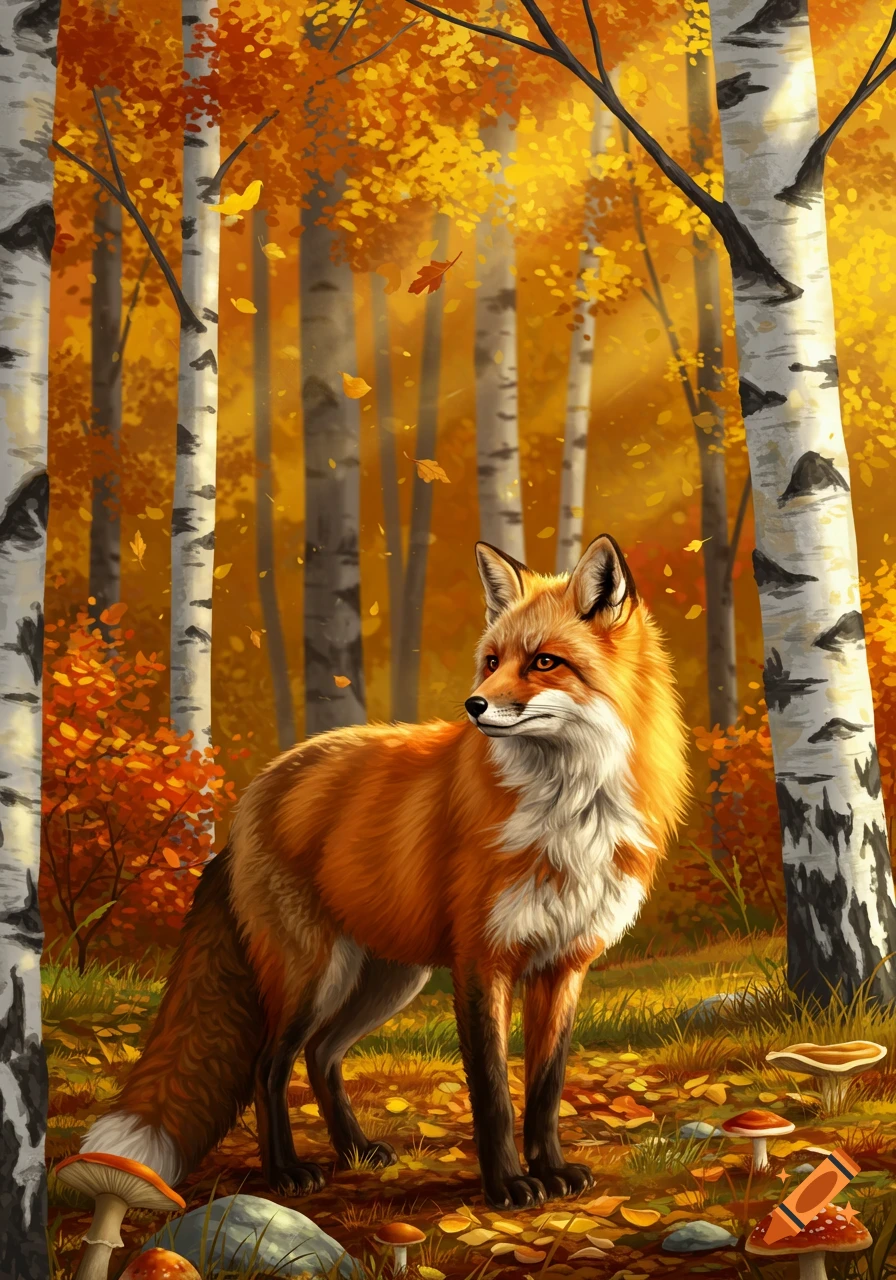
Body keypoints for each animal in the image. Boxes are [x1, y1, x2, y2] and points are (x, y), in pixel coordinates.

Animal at [80, 535, 689, 1211]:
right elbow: (493, 1093)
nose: (474, 705)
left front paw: (551, 1171)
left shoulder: (564, 965)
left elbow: (545, 1089)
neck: (571, 810)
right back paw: (285, 1172)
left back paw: (354, 1151)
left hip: (387, 978)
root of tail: (255, 795)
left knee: (321, 1056)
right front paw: (507, 1185)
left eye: (545, 662)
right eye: (491, 661)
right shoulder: (482, 961)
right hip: (312, 974)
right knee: (271, 1064)